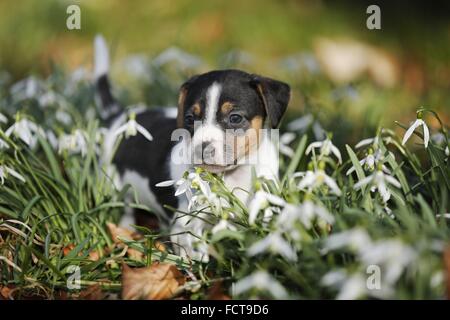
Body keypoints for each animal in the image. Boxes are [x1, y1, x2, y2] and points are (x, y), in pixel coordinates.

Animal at [95, 35, 292, 260]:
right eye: (189, 118)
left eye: (235, 118)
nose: (201, 149)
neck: (232, 176)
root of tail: (120, 116)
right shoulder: (187, 224)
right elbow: (193, 256)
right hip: (112, 184)